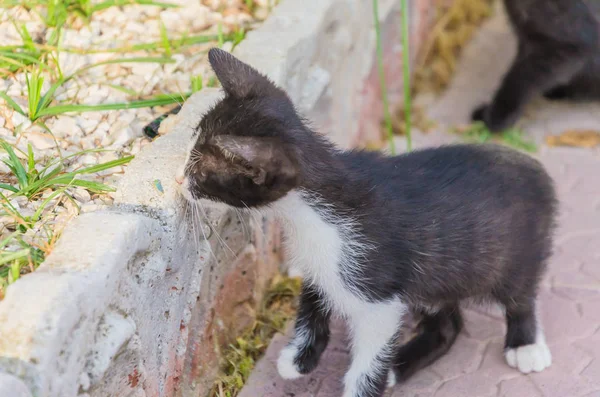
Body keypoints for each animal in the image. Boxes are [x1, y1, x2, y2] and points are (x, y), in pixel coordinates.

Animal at [177, 48, 556, 396]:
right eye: (191, 146)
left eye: (201, 171)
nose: (180, 180)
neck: (313, 210)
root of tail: (537, 170)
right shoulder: (322, 263)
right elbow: (313, 300)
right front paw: (300, 358)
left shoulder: (377, 293)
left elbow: (367, 360)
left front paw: (361, 384)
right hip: (437, 278)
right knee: (449, 325)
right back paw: (400, 366)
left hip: (515, 255)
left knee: (520, 296)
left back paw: (524, 344)